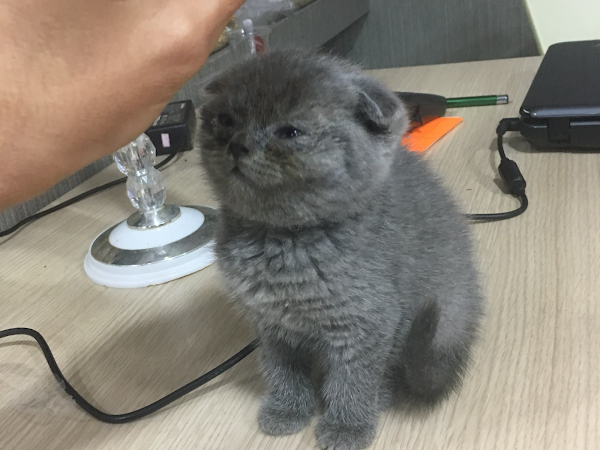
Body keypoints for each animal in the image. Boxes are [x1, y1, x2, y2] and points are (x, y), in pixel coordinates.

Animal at [197, 50, 483, 450]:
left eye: (290, 132)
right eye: (225, 120)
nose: (237, 143)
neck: (283, 238)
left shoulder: (367, 322)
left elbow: (352, 379)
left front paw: (347, 427)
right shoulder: (270, 322)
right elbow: (281, 369)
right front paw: (287, 409)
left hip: (439, 318)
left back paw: (380, 397)